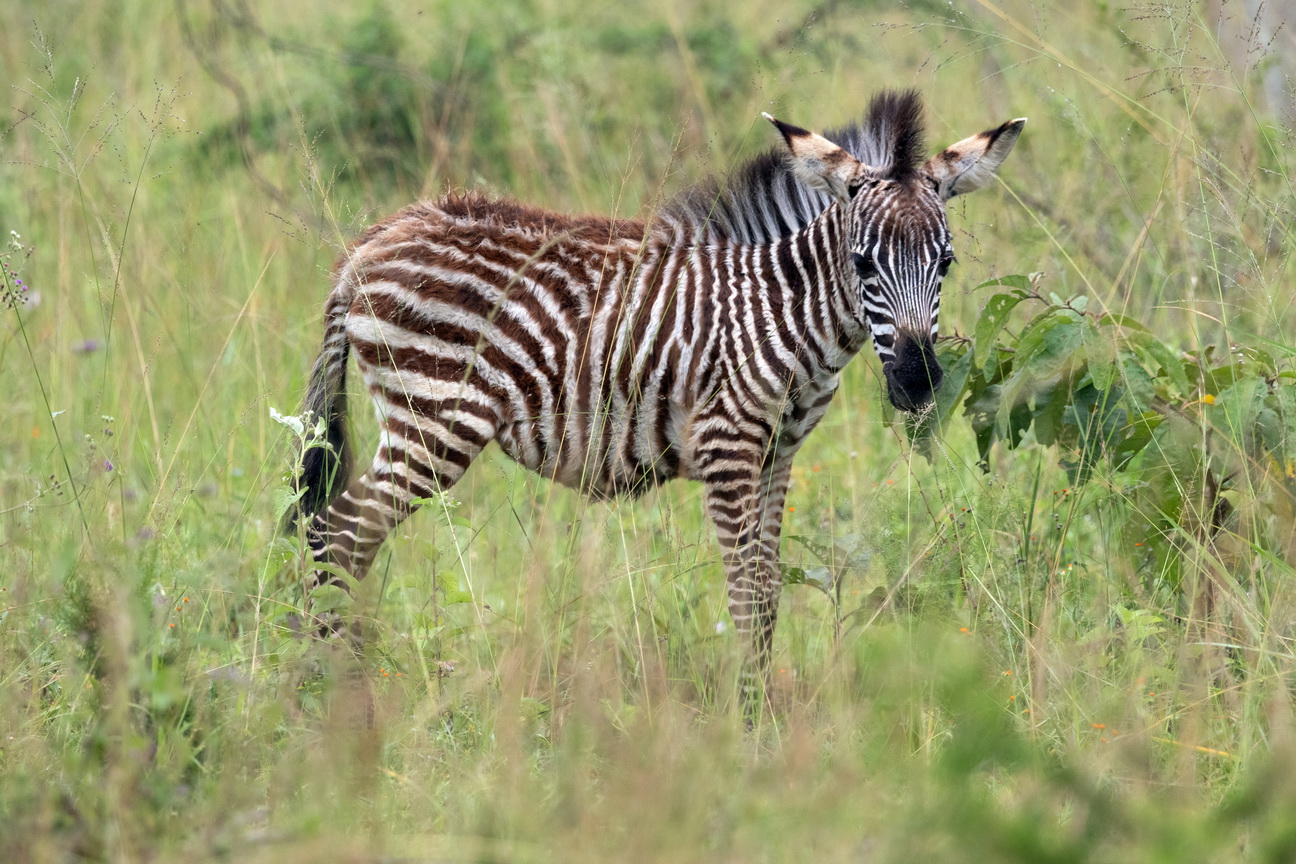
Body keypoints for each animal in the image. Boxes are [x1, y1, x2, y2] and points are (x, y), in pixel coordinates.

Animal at [284, 89, 1024, 706]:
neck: (783, 310)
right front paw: (750, 721)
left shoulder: (778, 454)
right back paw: (337, 691)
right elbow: (747, 589)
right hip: (433, 419)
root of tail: (369, 243)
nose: (917, 384)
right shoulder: (729, 444)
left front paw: (763, 706)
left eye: (947, 264)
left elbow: (768, 586)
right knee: (338, 532)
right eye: (864, 263)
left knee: (339, 535)